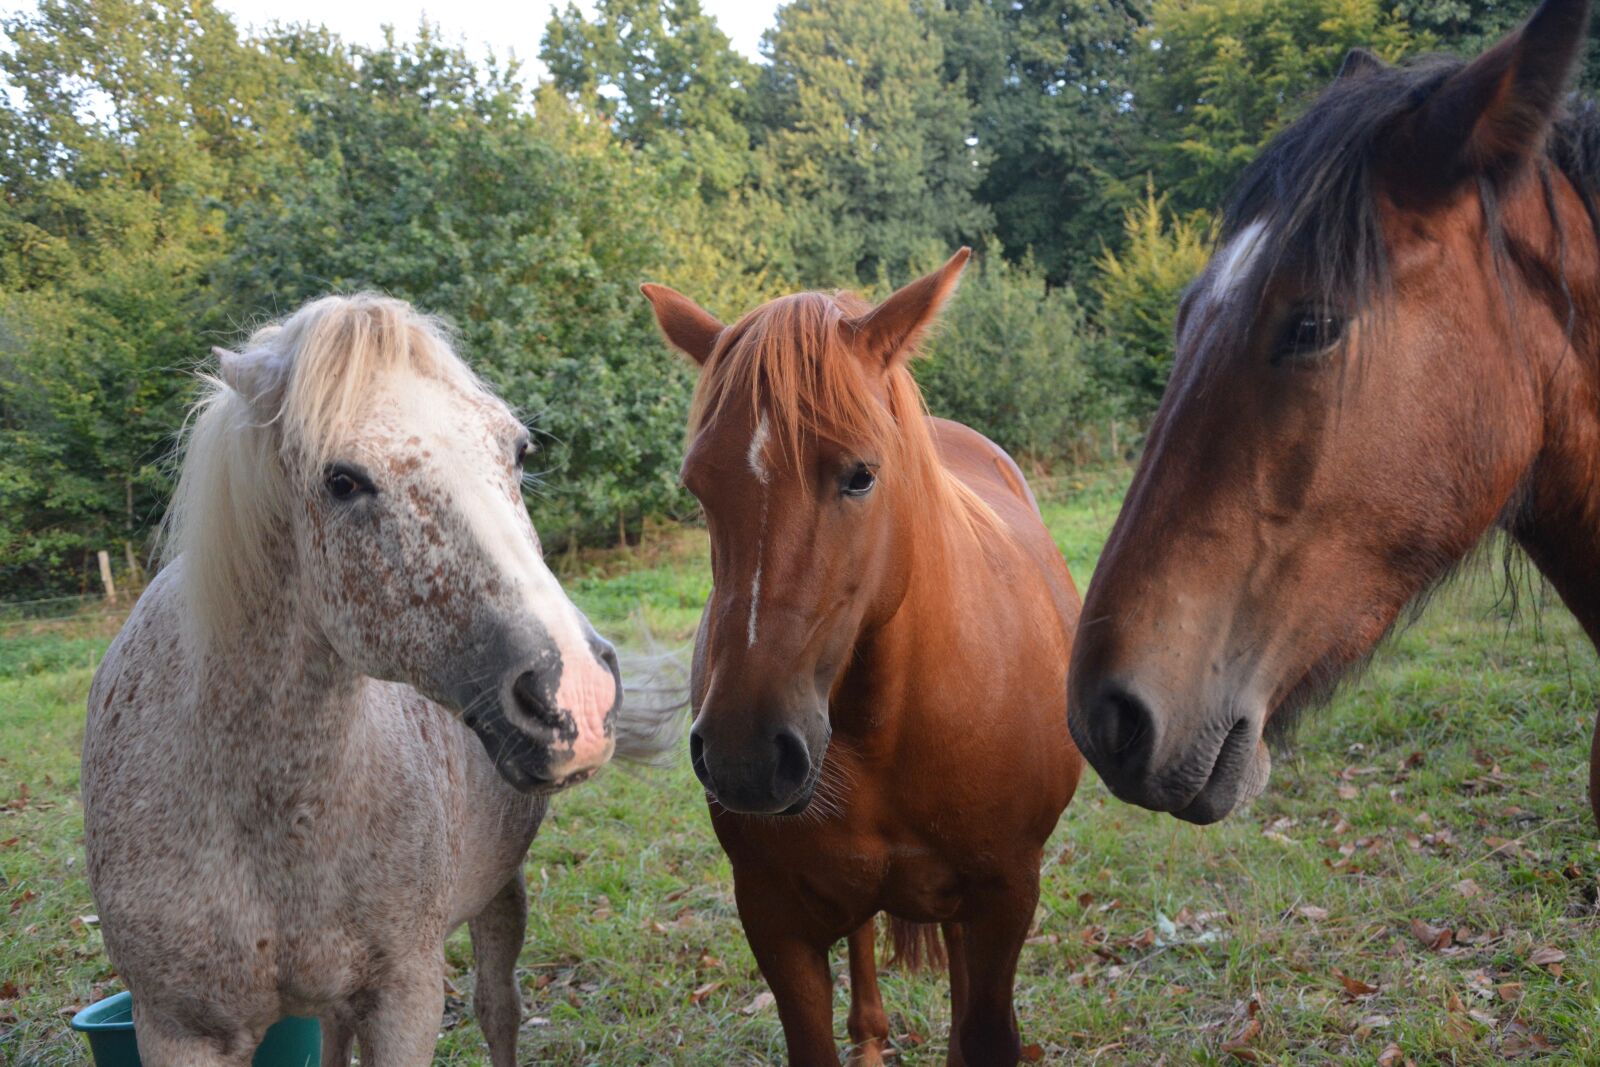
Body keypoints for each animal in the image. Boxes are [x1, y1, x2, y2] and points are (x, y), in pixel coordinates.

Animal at [80, 294, 682, 1067]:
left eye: (518, 450)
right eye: (342, 480)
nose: (575, 690)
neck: (270, 812)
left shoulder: (405, 998)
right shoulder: (178, 1028)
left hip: (498, 896)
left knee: (498, 1009)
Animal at [642, 250, 1084, 1067]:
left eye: (860, 475)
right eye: (698, 486)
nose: (745, 756)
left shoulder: (1007, 893)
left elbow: (984, 1031)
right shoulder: (774, 915)